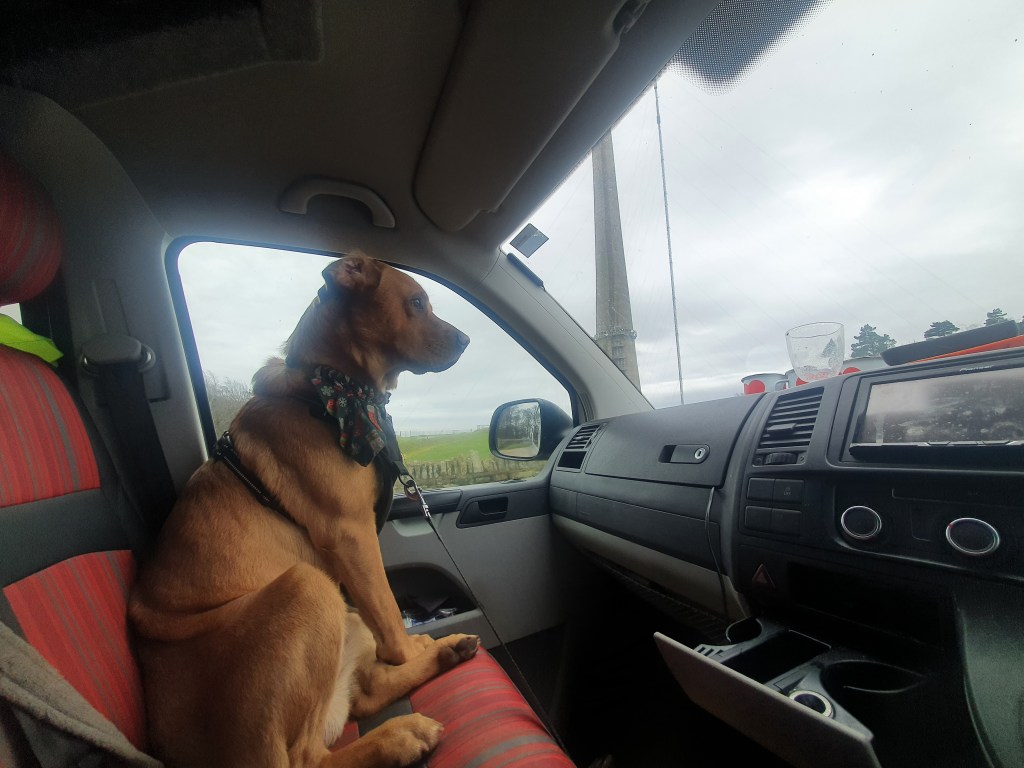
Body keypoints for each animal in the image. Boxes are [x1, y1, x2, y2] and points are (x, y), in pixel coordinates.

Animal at [129, 254, 477, 768]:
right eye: (416, 302)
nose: (467, 340)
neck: (332, 391)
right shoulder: (351, 537)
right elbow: (390, 617)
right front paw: (409, 648)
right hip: (309, 587)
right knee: (310, 757)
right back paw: (401, 733)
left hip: (343, 613)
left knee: (365, 695)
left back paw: (448, 651)